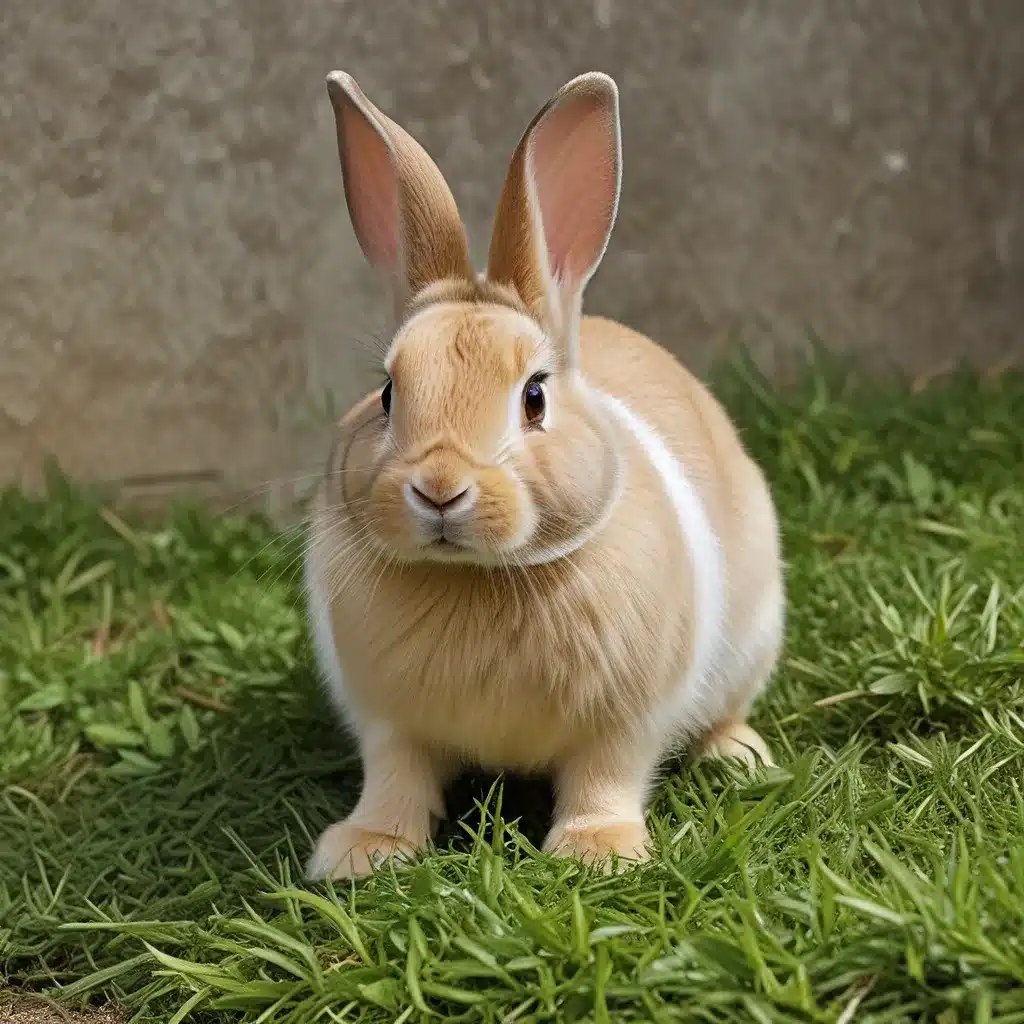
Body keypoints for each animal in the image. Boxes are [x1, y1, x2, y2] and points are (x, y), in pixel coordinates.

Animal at [303, 70, 782, 880]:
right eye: (388, 393)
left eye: (535, 396)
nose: (439, 489)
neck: (480, 579)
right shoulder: (388, 723)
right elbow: (395, 778)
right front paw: (363, 852)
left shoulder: (626, 719)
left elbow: (606, 775)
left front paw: (599, 853)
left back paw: (740, 757)